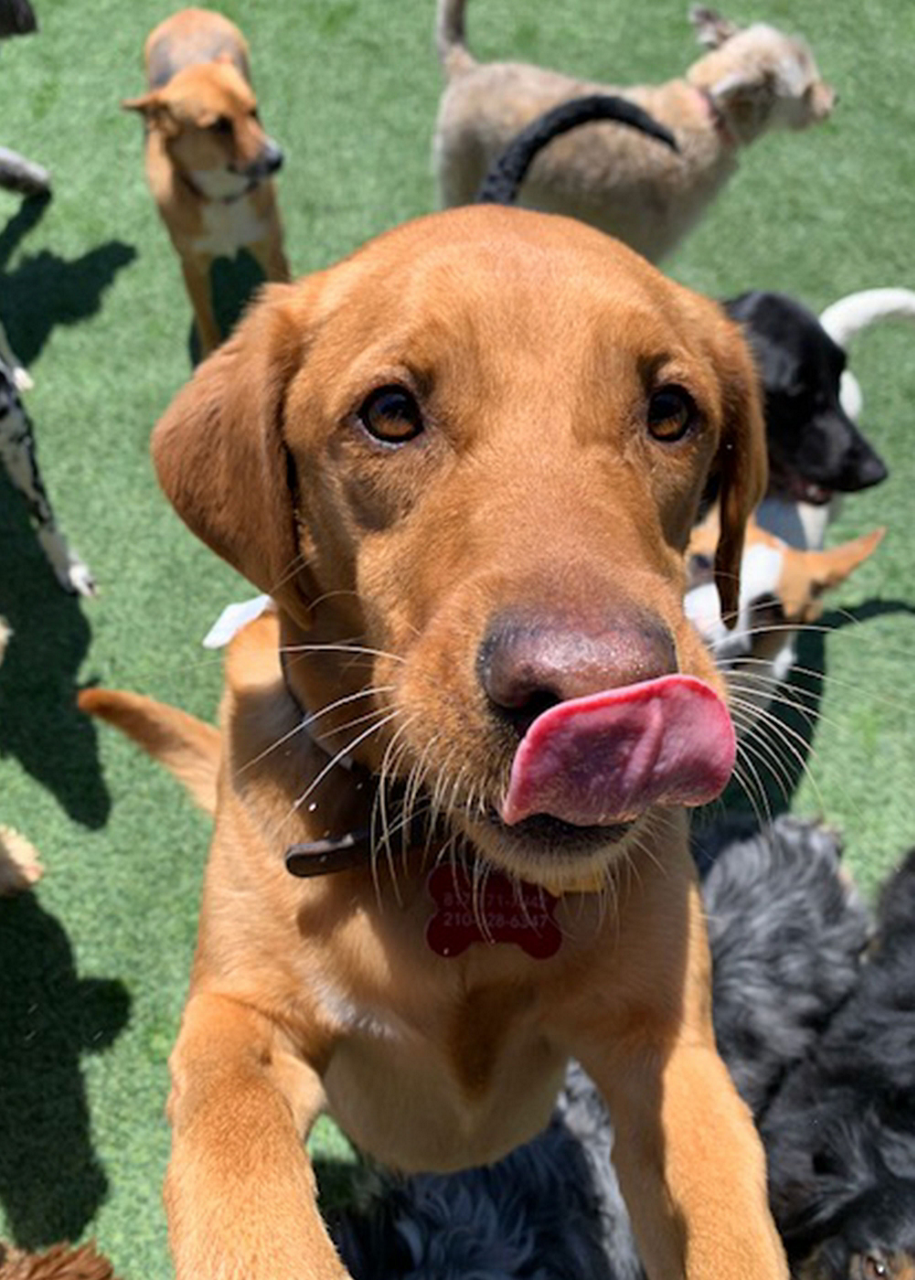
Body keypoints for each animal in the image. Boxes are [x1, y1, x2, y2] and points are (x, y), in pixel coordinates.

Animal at [125, 7, 290, 358]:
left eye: (254, 111)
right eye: (218, 125)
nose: (277, 159)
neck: (222, 194)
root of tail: (187, 12)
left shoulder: (273, 252)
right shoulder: (191, 266)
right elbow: (206, 321)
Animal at [437, 0, 839, 262]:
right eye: (806, 89)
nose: (833, 99)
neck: (708, 111)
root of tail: (468, 68)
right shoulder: (652, 245)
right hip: (461, 173)